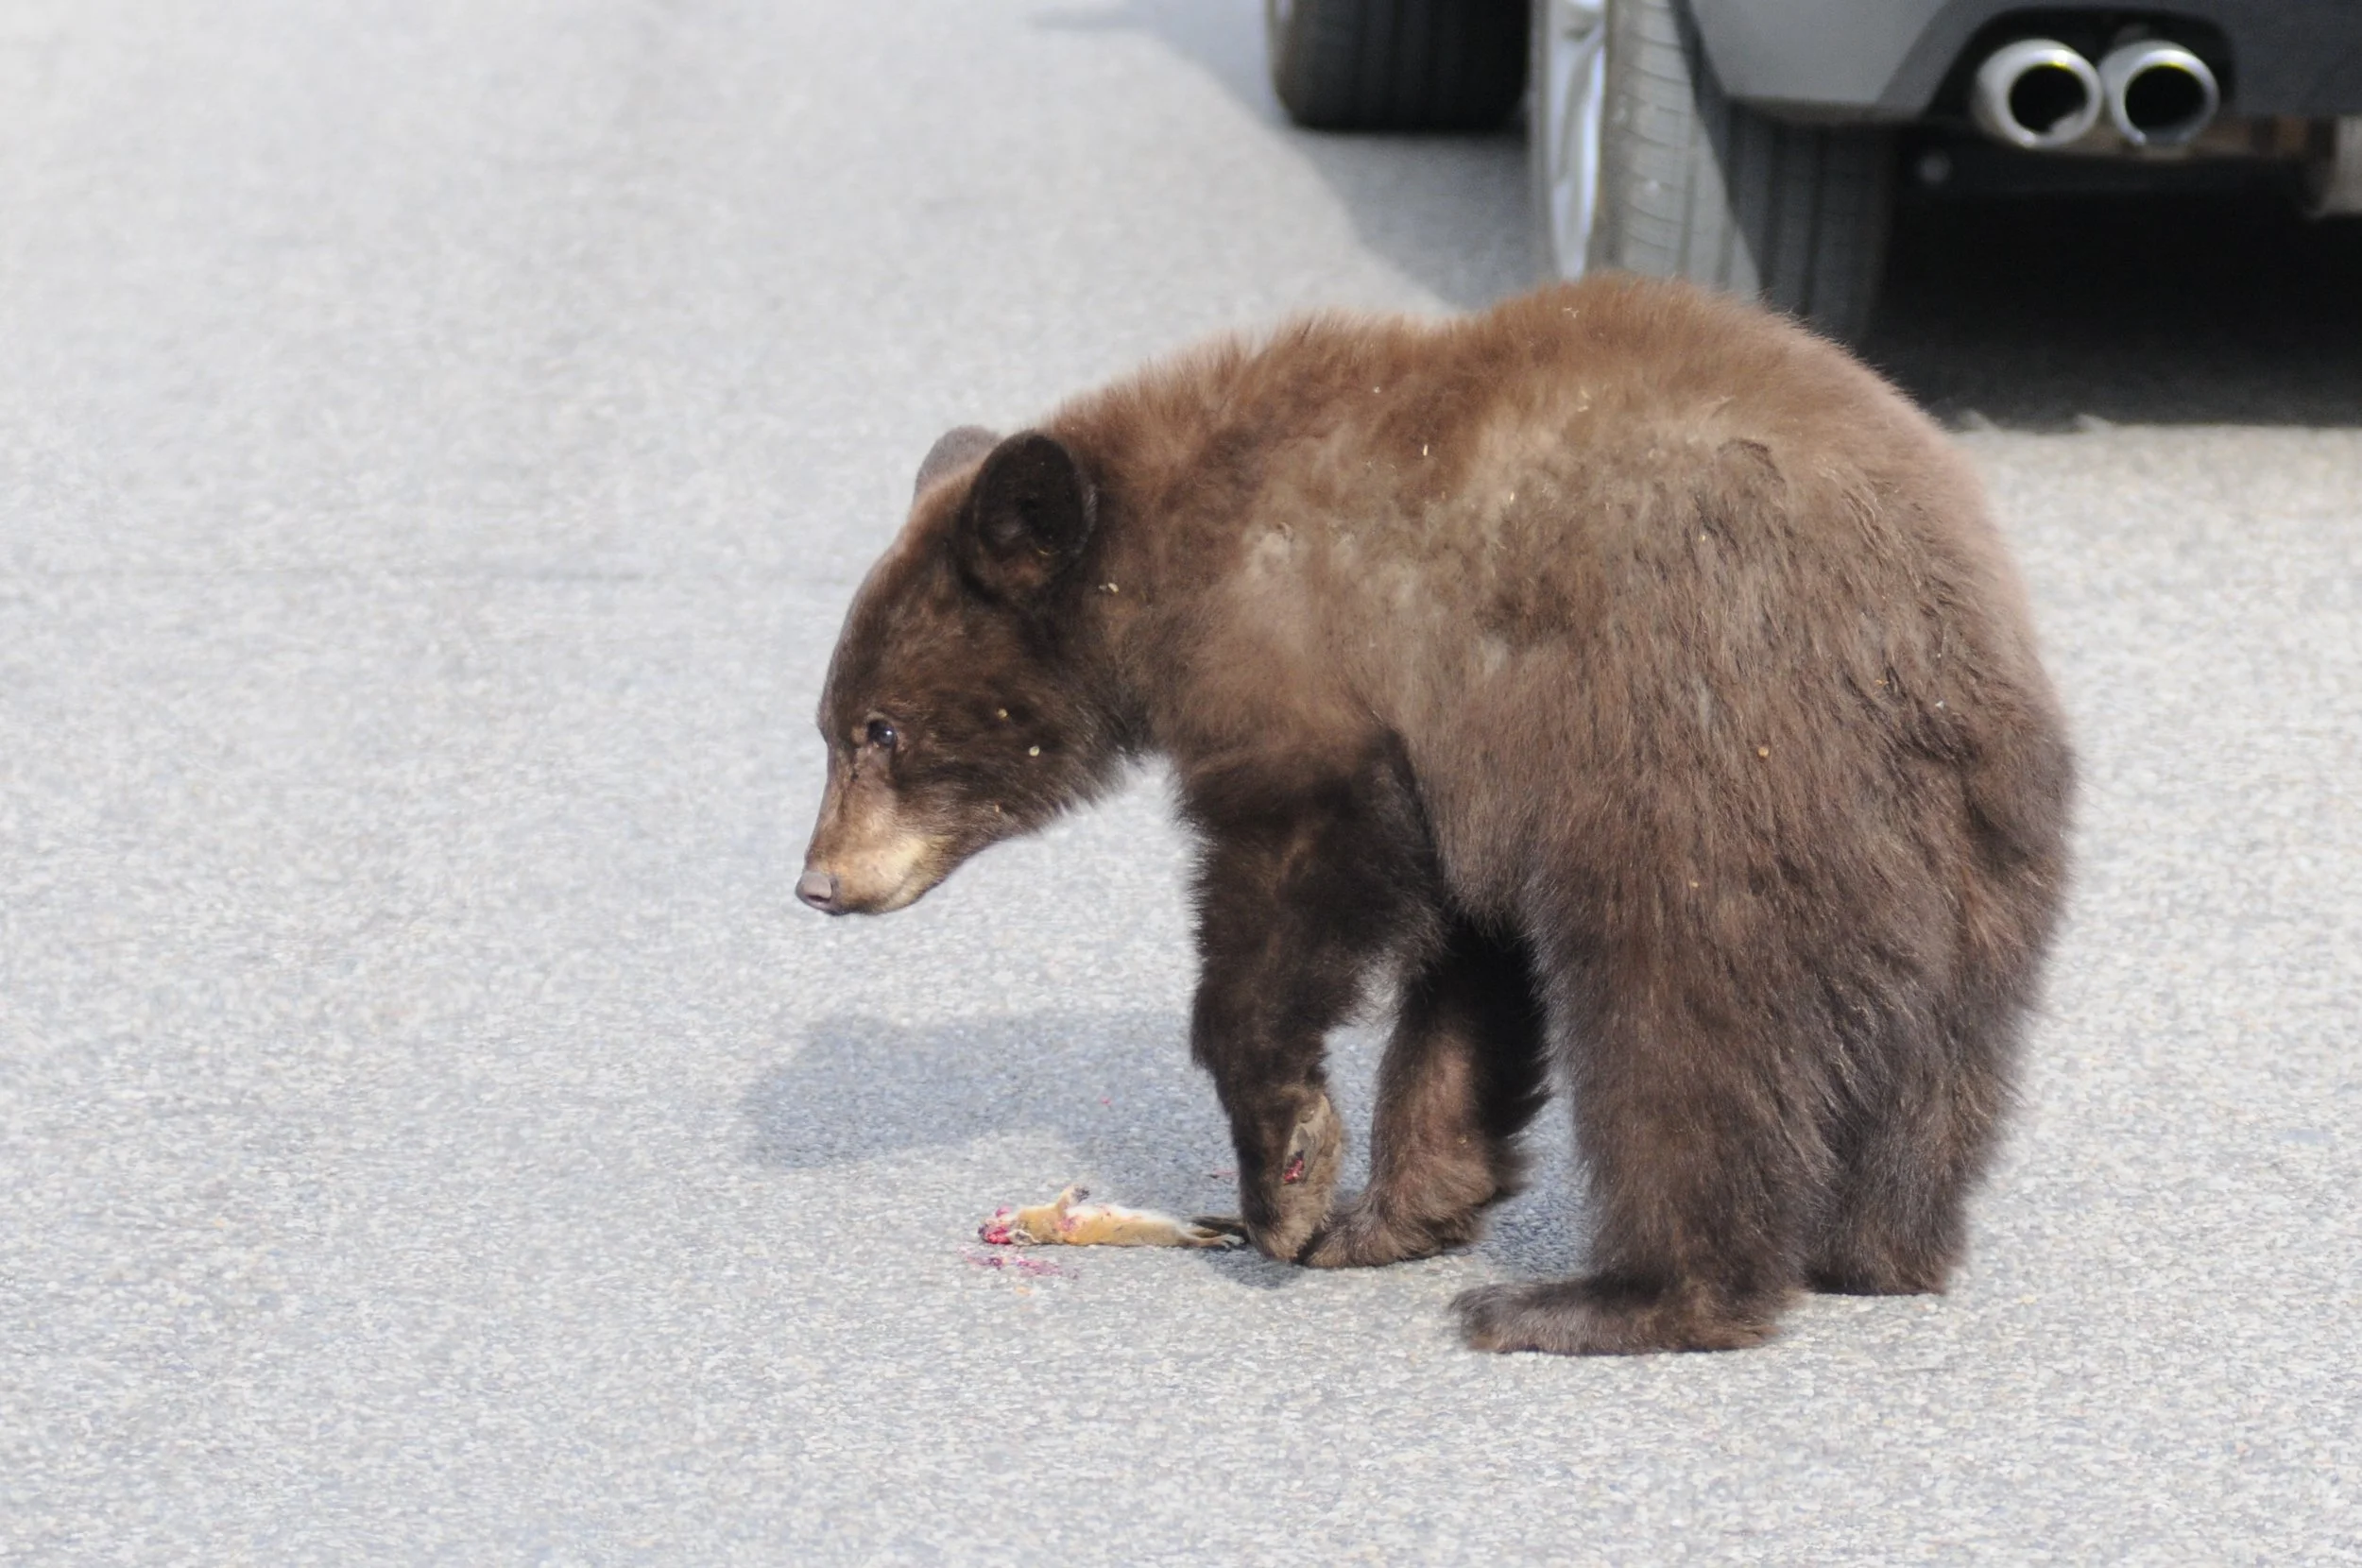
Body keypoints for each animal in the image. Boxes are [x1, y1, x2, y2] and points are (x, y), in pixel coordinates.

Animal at [797, 274, 2074, 1355]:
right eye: (831, 724)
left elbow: (1297, 893)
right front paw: (1391, 1211)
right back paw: (1879, 1249)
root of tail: (1914, 654)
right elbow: (1466, 974)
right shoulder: (1463, 761)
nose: (818, 881)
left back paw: (1608, 1299)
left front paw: (1289, 1181)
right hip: (1976, 857)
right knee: (1943, 1065)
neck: (1161, 559)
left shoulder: (1319, 673)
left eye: (880, 730)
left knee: (1679, 1034)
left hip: (1705, 785)